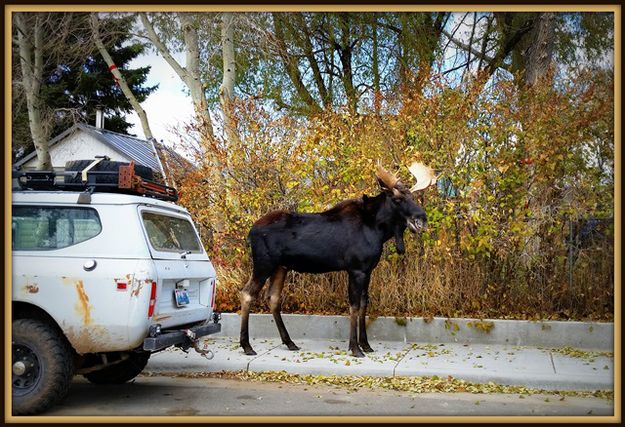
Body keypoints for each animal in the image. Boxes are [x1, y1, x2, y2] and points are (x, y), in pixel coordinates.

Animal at [239, 162, 434, 356]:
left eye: (412, 196)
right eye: (397, 199)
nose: (422, 219)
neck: (379, 230)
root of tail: (250, 233)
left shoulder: (367, 270)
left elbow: (364, 304)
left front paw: (366, 344)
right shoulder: (356, 269)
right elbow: (354, 306)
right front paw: (355, 347)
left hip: (281, 267)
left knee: (273, 298)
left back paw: (289, 342)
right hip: (264, 264)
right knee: (247, 293)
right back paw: (247, 345)